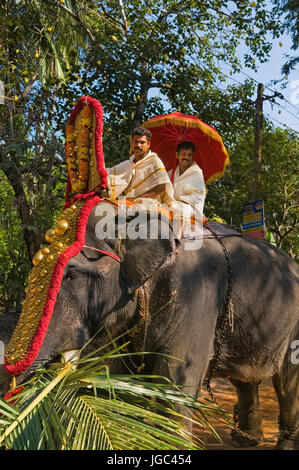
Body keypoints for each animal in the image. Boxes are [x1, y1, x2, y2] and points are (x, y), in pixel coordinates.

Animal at [0, 207, 299, 450]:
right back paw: (245, 441)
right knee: (245, 378)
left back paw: (283, 444)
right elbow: (120, 379)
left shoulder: (194, 291)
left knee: (287, 379)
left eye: (72, 275)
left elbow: (175, 380)